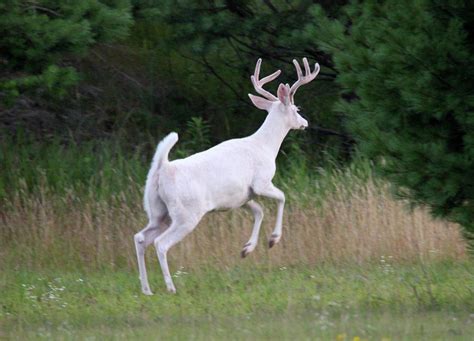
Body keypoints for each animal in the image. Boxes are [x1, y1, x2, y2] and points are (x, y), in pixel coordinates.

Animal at [133, 56, 318, 292]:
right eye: (296, 108)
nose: (305, 123)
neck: (266, 146)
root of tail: (162, 170)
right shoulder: (261, 182)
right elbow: (282, 197)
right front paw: (273, 239)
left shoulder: (239, 197)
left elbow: (259, 211)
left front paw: (247, 249)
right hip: (186, 214)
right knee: (160, 243)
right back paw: (170, 287)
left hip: (158, 211)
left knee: (140, 237)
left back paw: (146, 289)